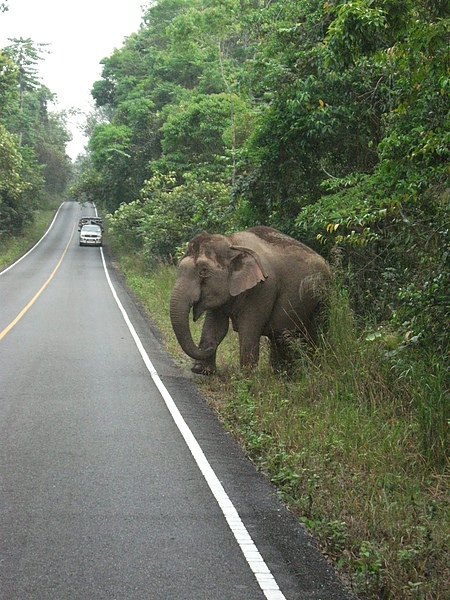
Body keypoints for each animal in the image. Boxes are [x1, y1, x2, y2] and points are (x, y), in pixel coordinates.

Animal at [169, 226, 330, 376]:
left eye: (203, 271)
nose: (209, 346)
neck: (232, 243)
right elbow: (216, 326)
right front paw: (201, 370)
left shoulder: (262, 289)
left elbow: (249, 328)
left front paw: (246, 377)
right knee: (281, 337)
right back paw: (281, 374)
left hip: (322, 298)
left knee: (314, 333)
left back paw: (313, 370)